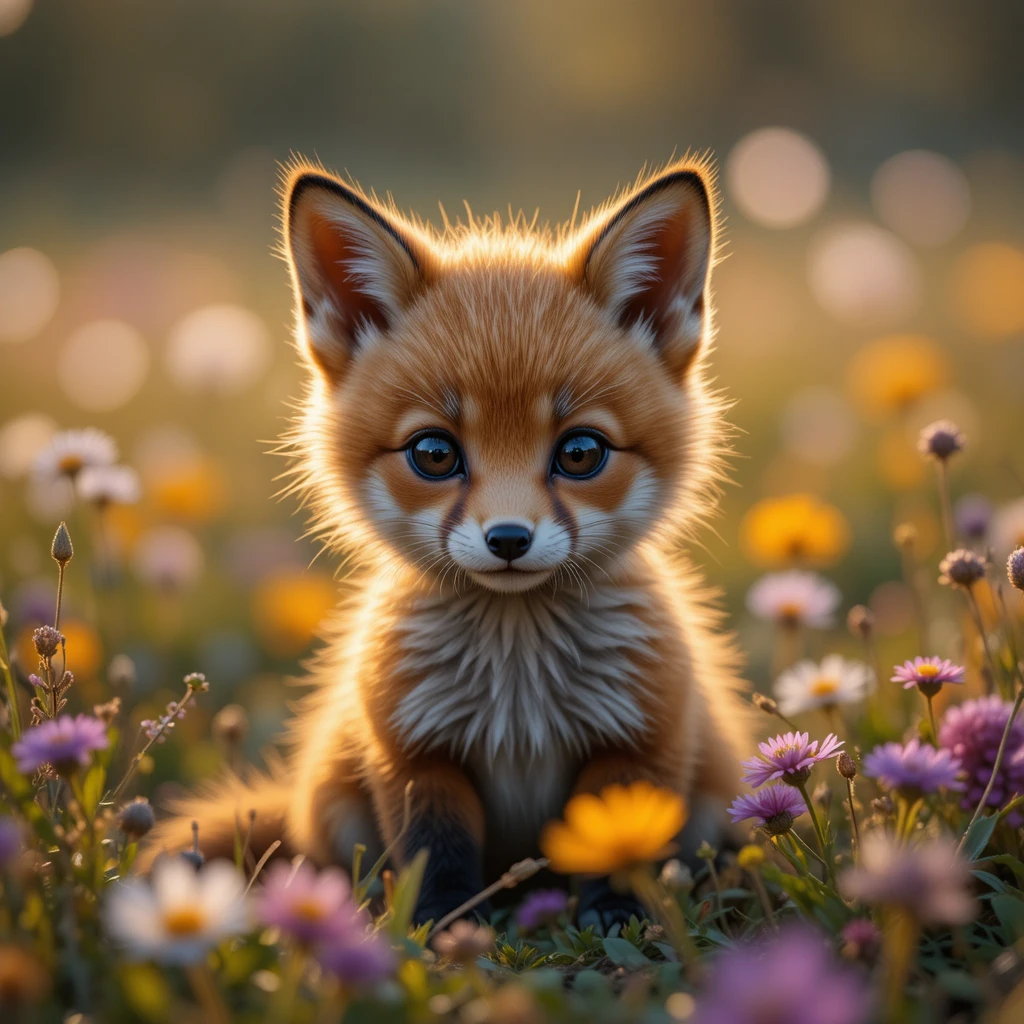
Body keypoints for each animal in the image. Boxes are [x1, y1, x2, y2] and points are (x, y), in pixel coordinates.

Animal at [142, 157, 755, 928]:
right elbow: (435, 855)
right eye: (434, 454)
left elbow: (622, 844)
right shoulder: (414, 757)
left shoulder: (640, 742)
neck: (519, 693)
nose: (509, 538)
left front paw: (616, 914)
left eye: (581, 452)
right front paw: (443, 929)